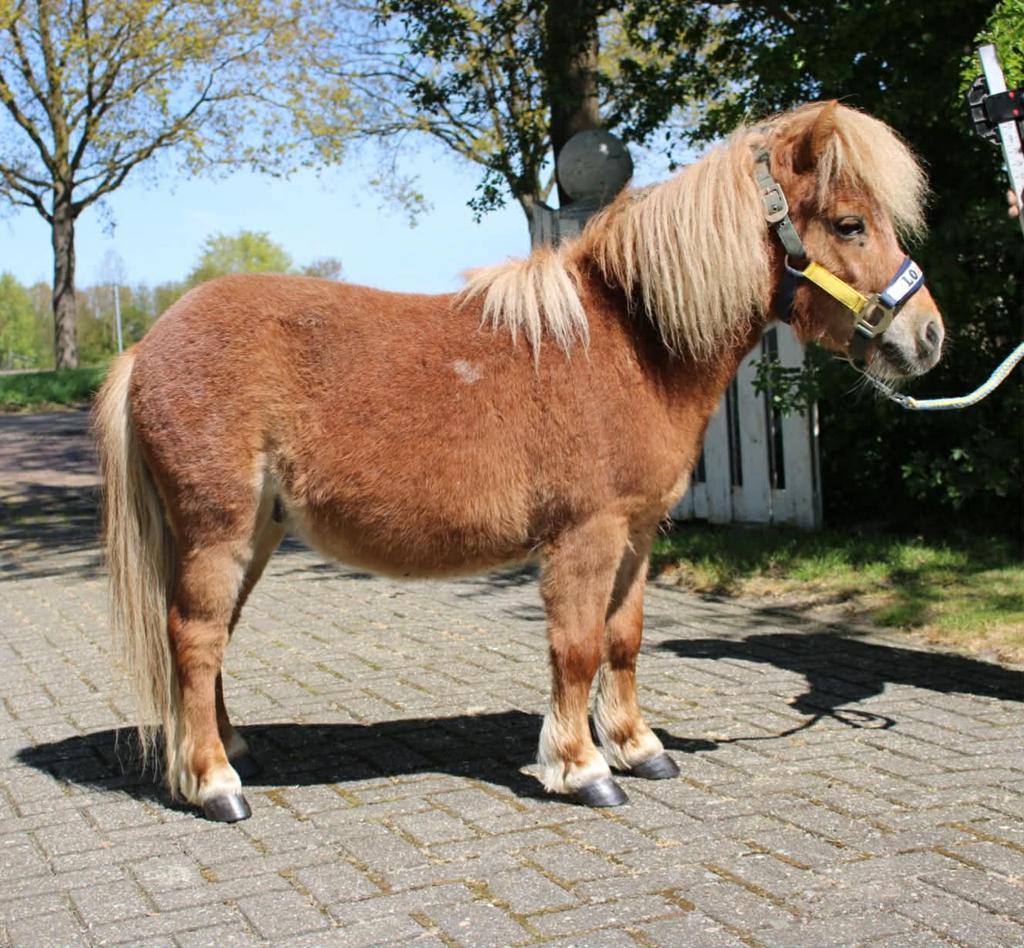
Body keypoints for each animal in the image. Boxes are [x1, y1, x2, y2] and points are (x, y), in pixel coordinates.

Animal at [94, 101, 945, 822]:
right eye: (849, 224)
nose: (929, 338)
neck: (631, 345)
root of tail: (146, 347)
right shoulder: (585, 538)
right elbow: (576, 648)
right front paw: (582, 769)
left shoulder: (637, 538)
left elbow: (623, 641)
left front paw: (638, 748)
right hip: (218, 533)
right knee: (195, 638)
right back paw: (215, 784)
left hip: (256, 536)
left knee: (209, 639)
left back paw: (229, 751)